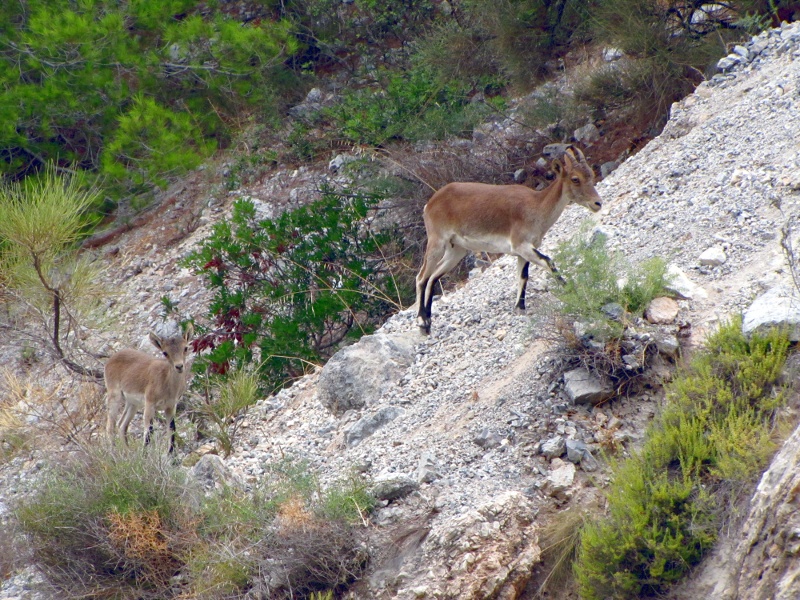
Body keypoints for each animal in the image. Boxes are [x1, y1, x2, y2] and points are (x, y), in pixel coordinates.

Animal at [105, 323, 193, 453]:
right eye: (165, 352)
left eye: (185, 348)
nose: (179, 366)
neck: (166, 383)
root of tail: (111, 359)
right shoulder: (150, 403)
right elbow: (148, 432)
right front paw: (145, 454)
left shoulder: (171, 406)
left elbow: (172, 430)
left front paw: (170, 455)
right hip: (114, 394)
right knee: (110, 427)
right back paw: (114, 453)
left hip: (132, 403)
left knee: (122, 425)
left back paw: (128, 452)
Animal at [415, 145, 602, 334]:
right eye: (575, 179)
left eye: (591, 175)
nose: (597, 203)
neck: (536, 206)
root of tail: (429, 204)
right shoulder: (521, 244)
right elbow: (548, 262)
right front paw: (575, 294)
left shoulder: (524, 251)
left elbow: (523, 276)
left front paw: (520, 307)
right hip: (437, 241)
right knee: (422, 277)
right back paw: (422, 321)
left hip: (456, 250)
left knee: (433, 277)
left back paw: (429, 323)